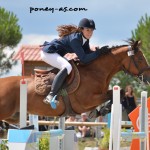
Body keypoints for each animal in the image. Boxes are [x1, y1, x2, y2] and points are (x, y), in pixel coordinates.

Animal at [0, 39, 150, 124]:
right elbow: (114, 94)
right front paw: (102, 110)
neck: (95, 72)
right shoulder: (87, 101)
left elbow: (120, 92)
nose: (148, 78)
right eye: (140, 59)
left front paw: (97, 112)